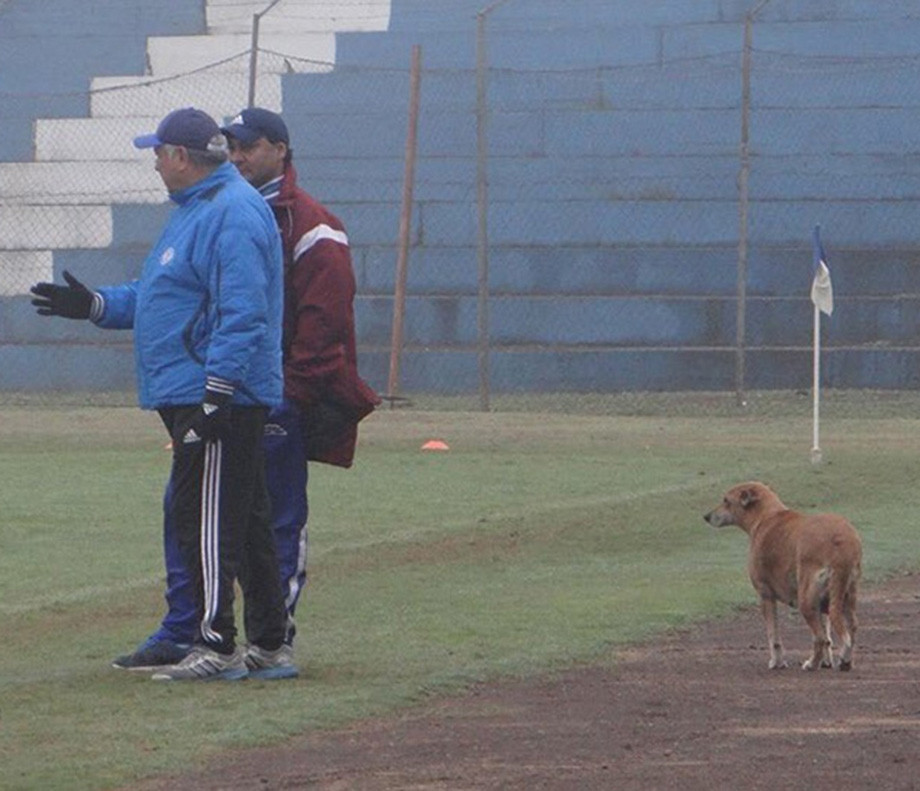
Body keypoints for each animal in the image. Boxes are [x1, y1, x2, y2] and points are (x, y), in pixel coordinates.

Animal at [704, 480, 864, 672]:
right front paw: (827, 662)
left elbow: (774, 636)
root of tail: (841, 539)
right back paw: (845, 661)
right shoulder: (823, 604)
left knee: (819, 638)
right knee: (850, 630)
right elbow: (828, 638)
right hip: (846, 596)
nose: (706, 516)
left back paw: (812, 664)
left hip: (806, 601)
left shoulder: (765, 595)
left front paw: (777, 662)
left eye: (726, 501)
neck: (766, 516)